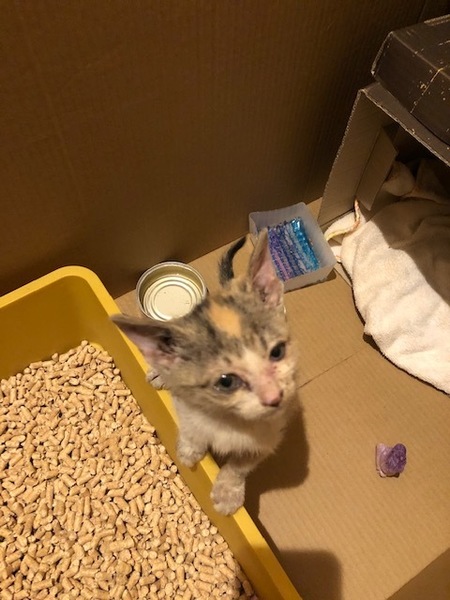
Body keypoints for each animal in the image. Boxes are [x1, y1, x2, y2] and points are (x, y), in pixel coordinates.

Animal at [112, 230, 298, 515]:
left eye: (277, 352)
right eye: (226, 381)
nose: (274, 397)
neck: (226, 418)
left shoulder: (270, 436)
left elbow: (240, 464)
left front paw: (228, 493)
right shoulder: (186, 408)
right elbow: (192, 430)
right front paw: (189, 451)